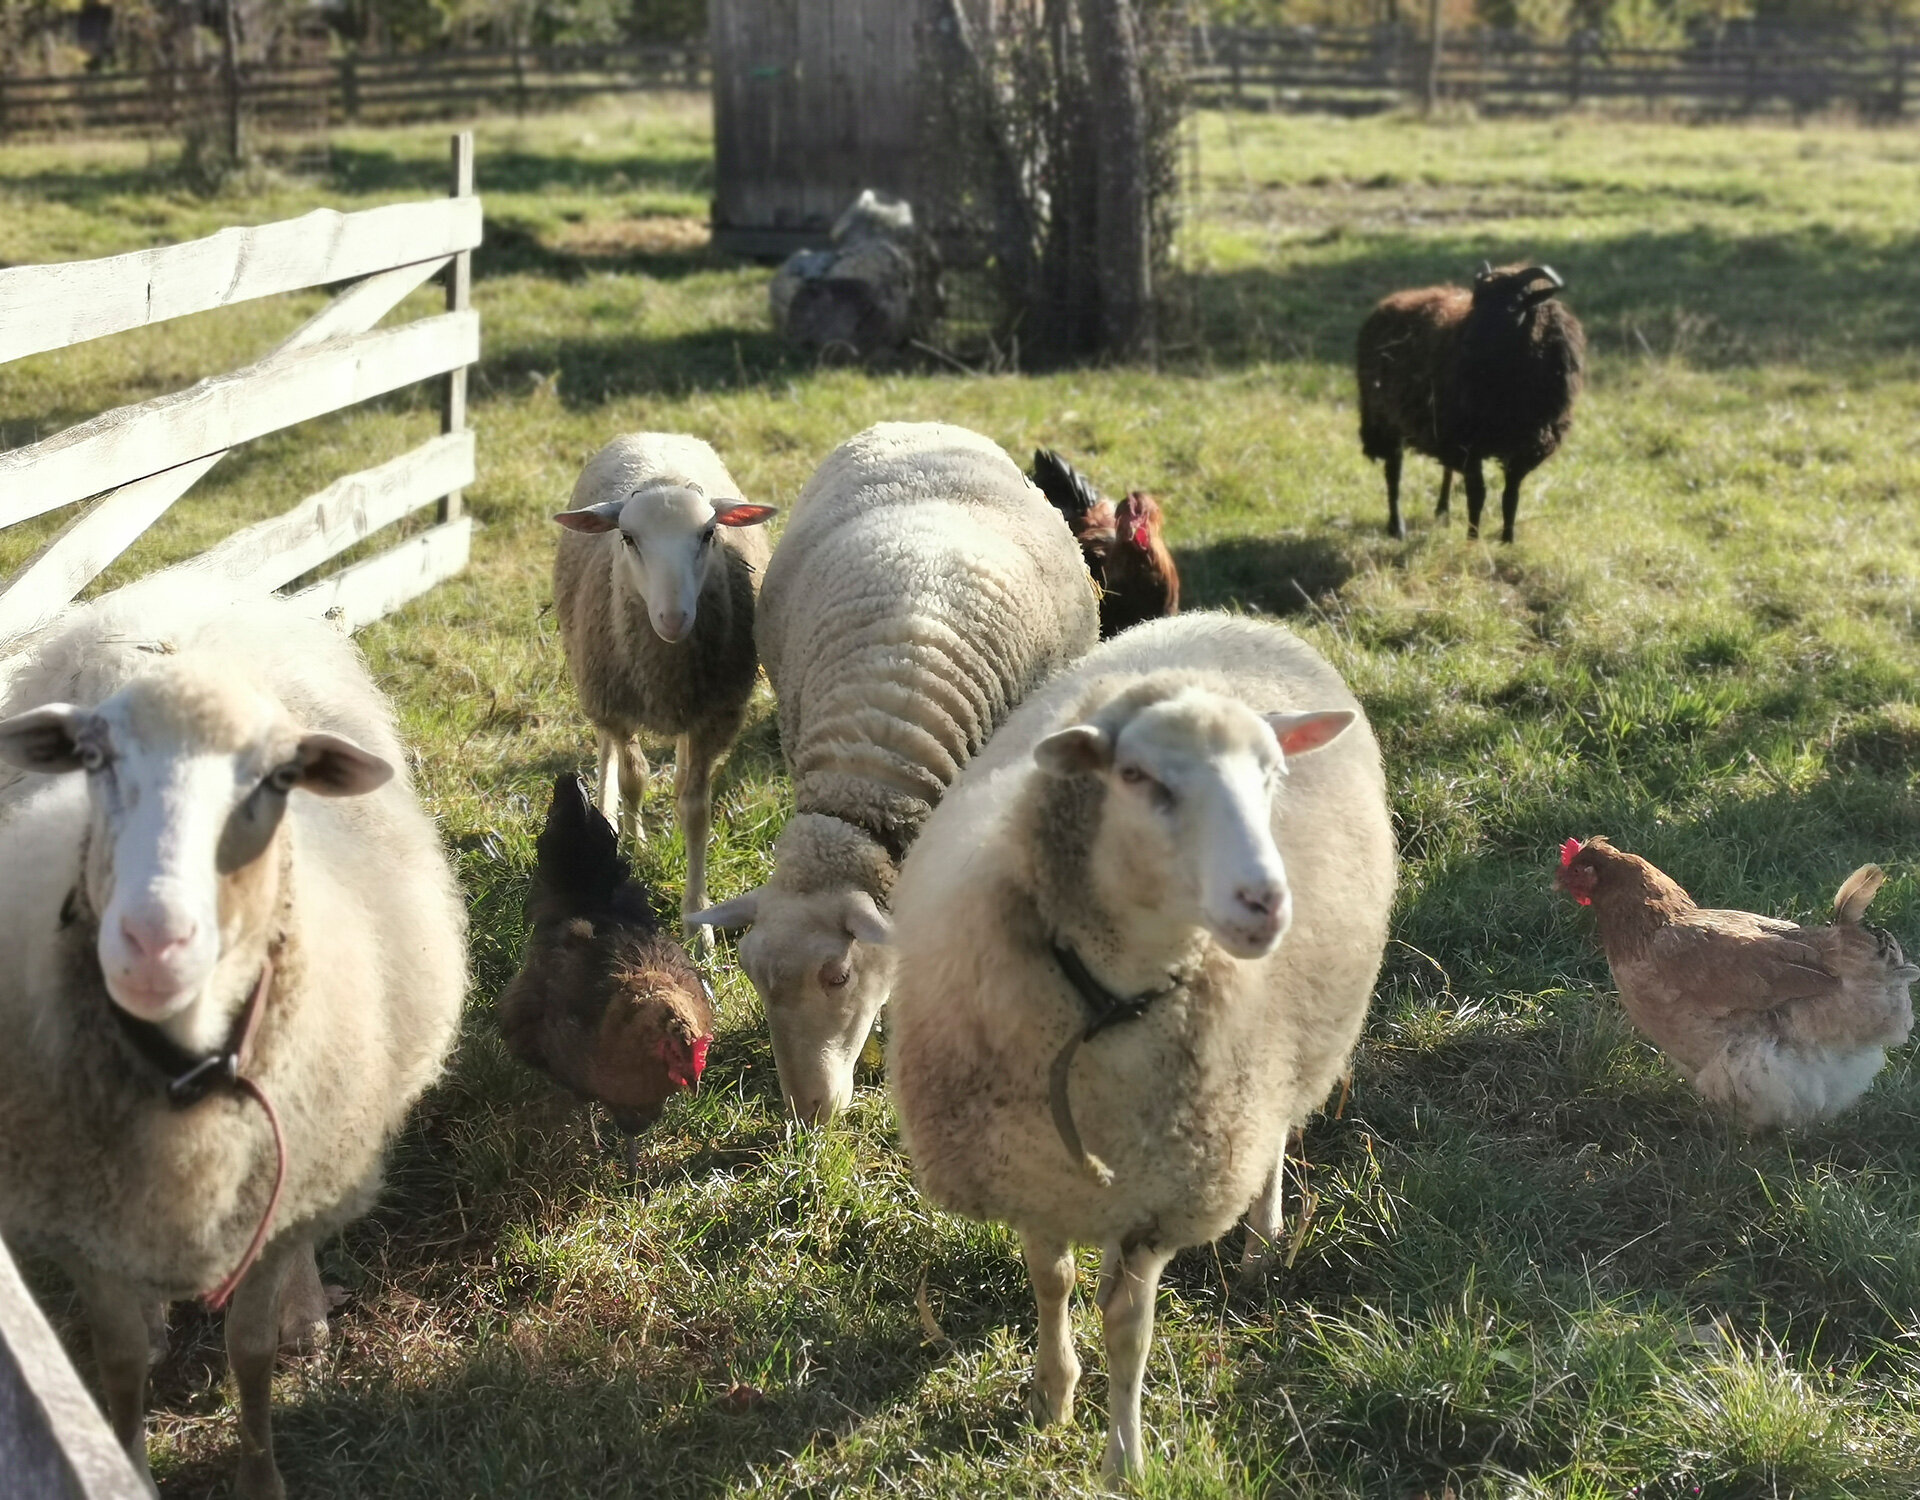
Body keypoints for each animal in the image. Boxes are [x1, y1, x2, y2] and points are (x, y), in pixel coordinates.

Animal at [0, 576, 468, 1498]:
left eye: (282, 776)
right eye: (92, 760)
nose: (154, 940)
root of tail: (188, 590)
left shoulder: (282, 1189)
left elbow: (248, 1352)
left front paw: (261, 1472)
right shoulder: (80, 1221)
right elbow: (117, 1362)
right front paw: (126, 1455)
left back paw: (306, 1313)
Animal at [552, 430, 775, 937]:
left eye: (708, 534)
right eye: (628, 537)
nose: (673, 618)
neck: (664, 668)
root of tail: (655, 435)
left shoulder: (715, 714)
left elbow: (696, 810)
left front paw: (698, 923)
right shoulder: (616, 704)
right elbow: (634, 777)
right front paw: (636, 846)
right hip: (595, 678)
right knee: (608, 750)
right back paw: (607, 810)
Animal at [883, 606, 1397, 1475]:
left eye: (1271, 774)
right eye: (1136, 777)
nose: (1266, 901)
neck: (1106, 1006)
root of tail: (1234, 617)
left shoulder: (1161, 1205)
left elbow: (1129, 1330)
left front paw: (1123, 1456)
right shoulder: (1031, 1174)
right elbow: (1050, 1281)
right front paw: (1052, 1396)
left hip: (1273, 1079)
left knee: (1273, 1142)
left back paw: (1262, 1241)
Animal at [1359, 263, 1582, 545]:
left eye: (1513, 305)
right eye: (1476, 302)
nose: (1467, 342)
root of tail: (1390, 302)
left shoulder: (1525, 445)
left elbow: (1510, 496)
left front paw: (1507, 540)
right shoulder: (1469, 443)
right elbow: (1477, 495)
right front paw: (1473, 540)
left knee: (1445, 469)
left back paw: (1442, 511)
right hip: (1385, 418)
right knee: (1394, 472)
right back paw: (1396, 527)